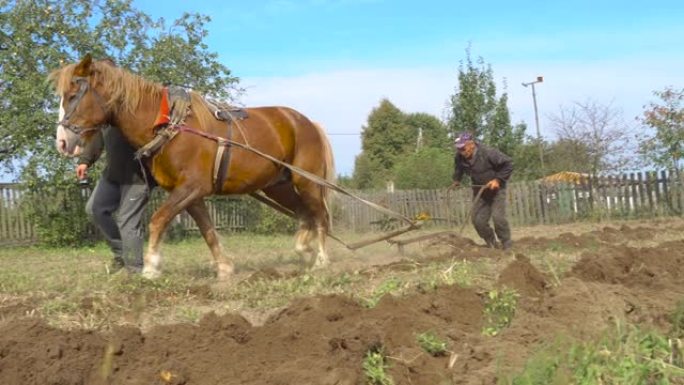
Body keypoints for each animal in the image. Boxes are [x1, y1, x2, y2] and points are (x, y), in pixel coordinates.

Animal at [49, 55, 336, 280]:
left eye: (73, 96)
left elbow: (157, 220)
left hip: (307, 182)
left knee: (319, 215)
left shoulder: (192, 187)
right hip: (277, 185)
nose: (62, 142)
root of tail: (307, 122)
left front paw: (151, 267)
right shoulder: (191, 194)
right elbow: (207, 230)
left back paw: (322, 260)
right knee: (303, 213)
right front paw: (224, 268)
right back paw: (304, 250)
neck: (169, 124)